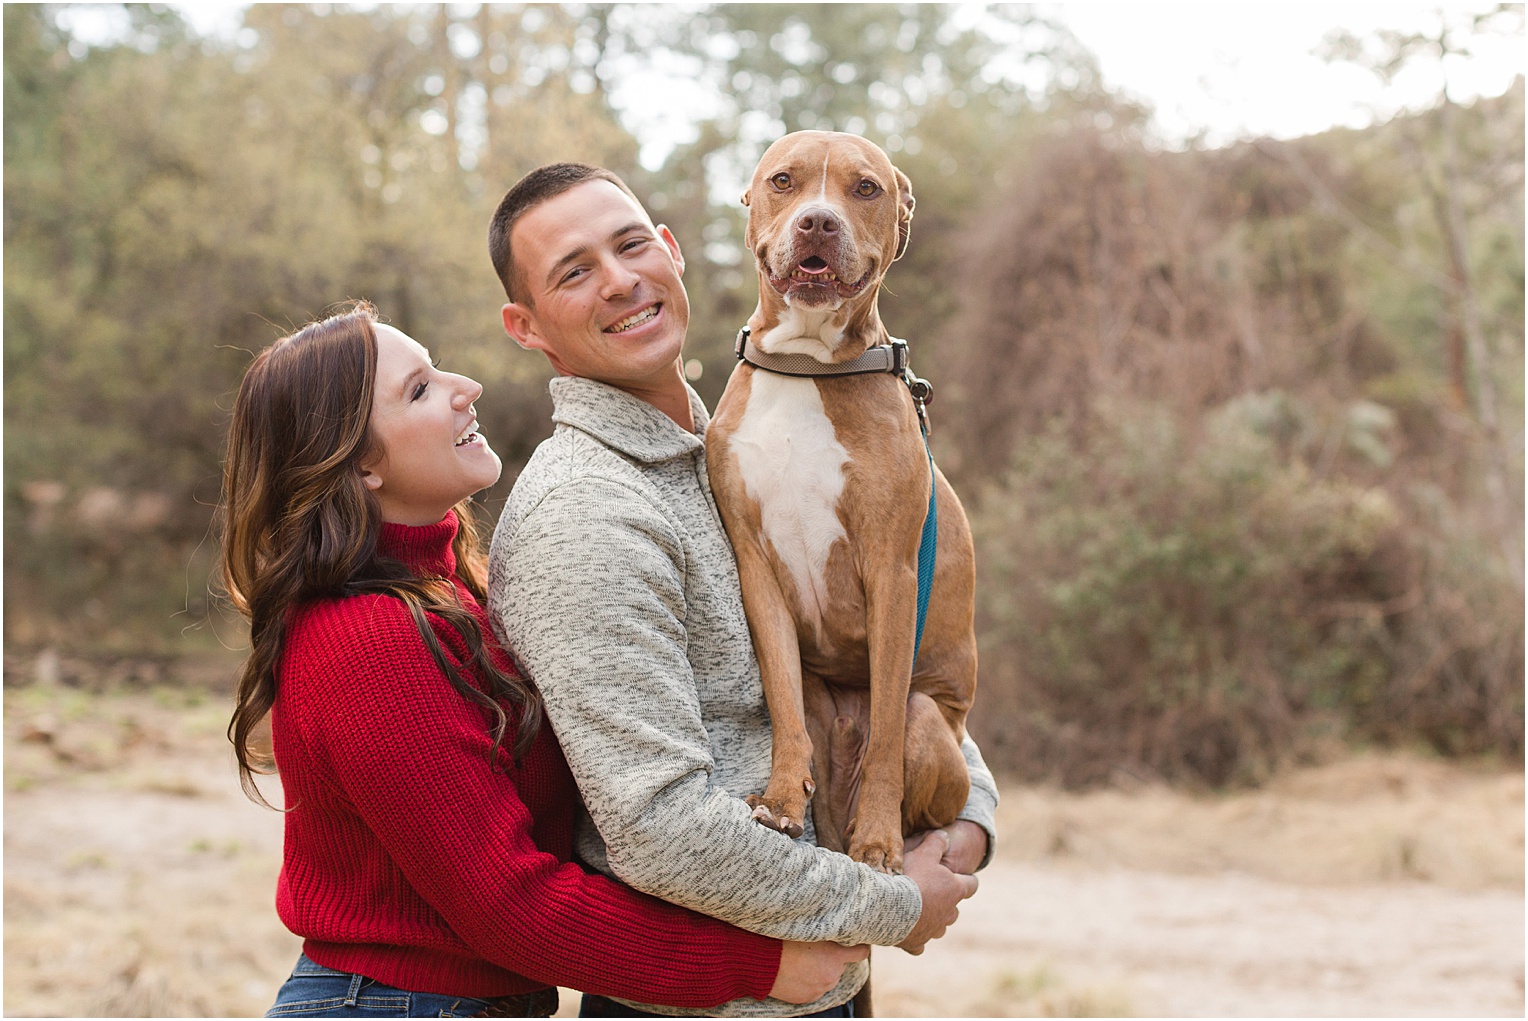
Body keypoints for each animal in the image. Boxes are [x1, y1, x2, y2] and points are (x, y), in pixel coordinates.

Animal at [705, 131, 977, 874]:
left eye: (866, 188)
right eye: (784, 181)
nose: (818, 222)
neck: (805, 366)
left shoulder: (892, 571)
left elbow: (883, 739)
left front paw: (878, 840)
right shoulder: (756, 568)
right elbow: (783, 706)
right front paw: (778, 800)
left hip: (929, 719)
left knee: (906, 759)